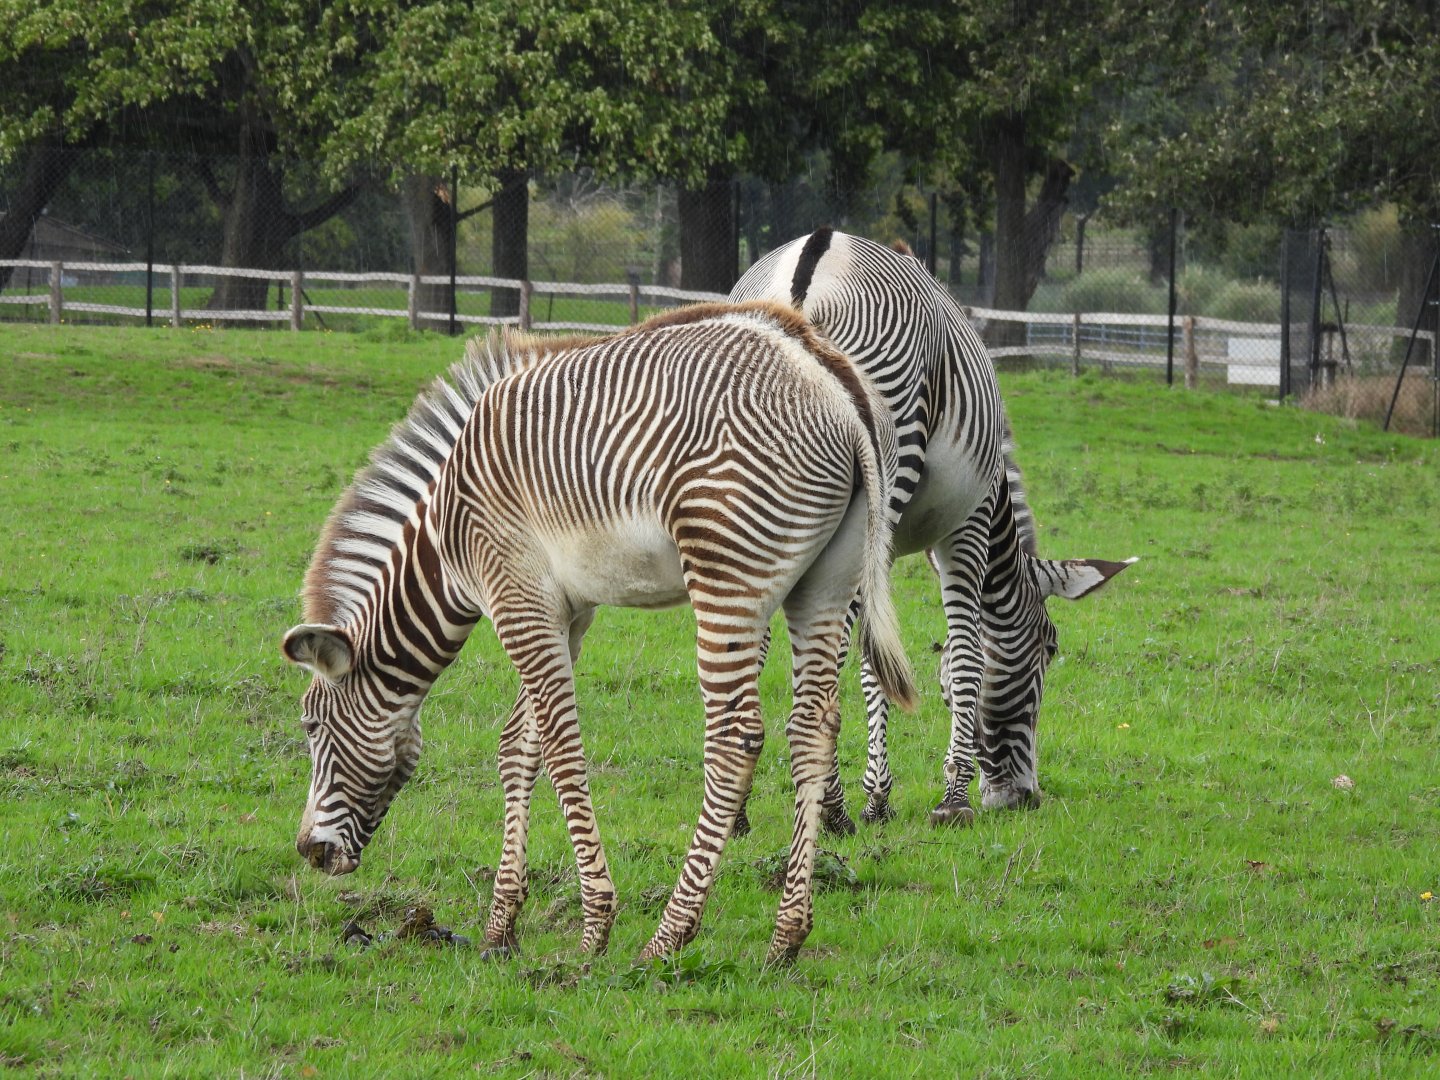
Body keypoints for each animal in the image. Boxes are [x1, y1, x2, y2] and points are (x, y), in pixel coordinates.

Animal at [281, 300, 916, 966]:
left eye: (312, 726)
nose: (309, 853)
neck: (446, 534)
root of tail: (832, 383)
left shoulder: (515, 596)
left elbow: (560, 747)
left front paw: (594, 925)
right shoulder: (566, 612)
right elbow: (519, 744)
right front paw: (500, 926)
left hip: (728, 576)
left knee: (735, 736)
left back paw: (669, 934)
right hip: (824, 582)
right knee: (813, 727)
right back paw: (786, 937)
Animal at [729, 229, 1133, 830]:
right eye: (1050, 647)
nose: (1025, 797)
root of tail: (816, 255)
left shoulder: (889, 548)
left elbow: (880, 657)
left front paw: (880, 796)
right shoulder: (968, 528)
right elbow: (963, 655)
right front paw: (951, 799)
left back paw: (740, 811)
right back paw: (831, 810)